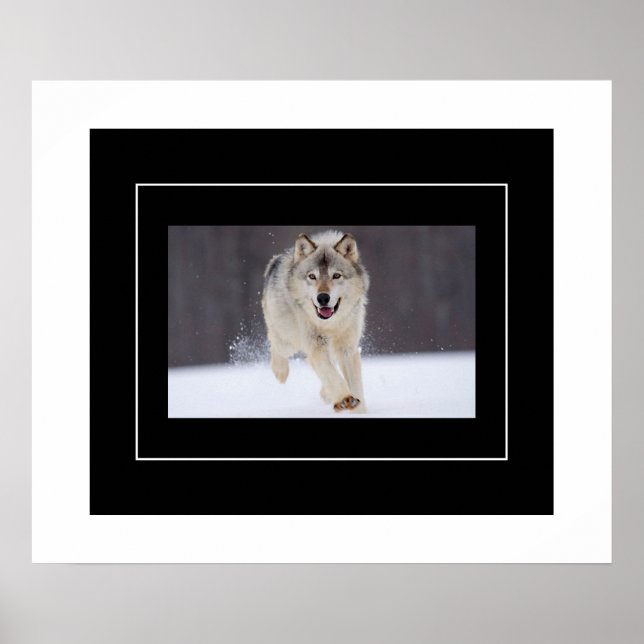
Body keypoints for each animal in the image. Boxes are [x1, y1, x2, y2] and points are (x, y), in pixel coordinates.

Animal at [261, 230, 370, 413]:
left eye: (336, 275)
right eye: (312, 276)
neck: (330, 324)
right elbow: (333, 376)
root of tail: (275, 261)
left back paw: (326, 394)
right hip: (288, 341)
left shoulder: (347, 349)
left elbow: (355, 385)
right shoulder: (316, 346)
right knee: (275, 342)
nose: (323, 298)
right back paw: (280, 372)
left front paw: (358, 409)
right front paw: (345, 399)